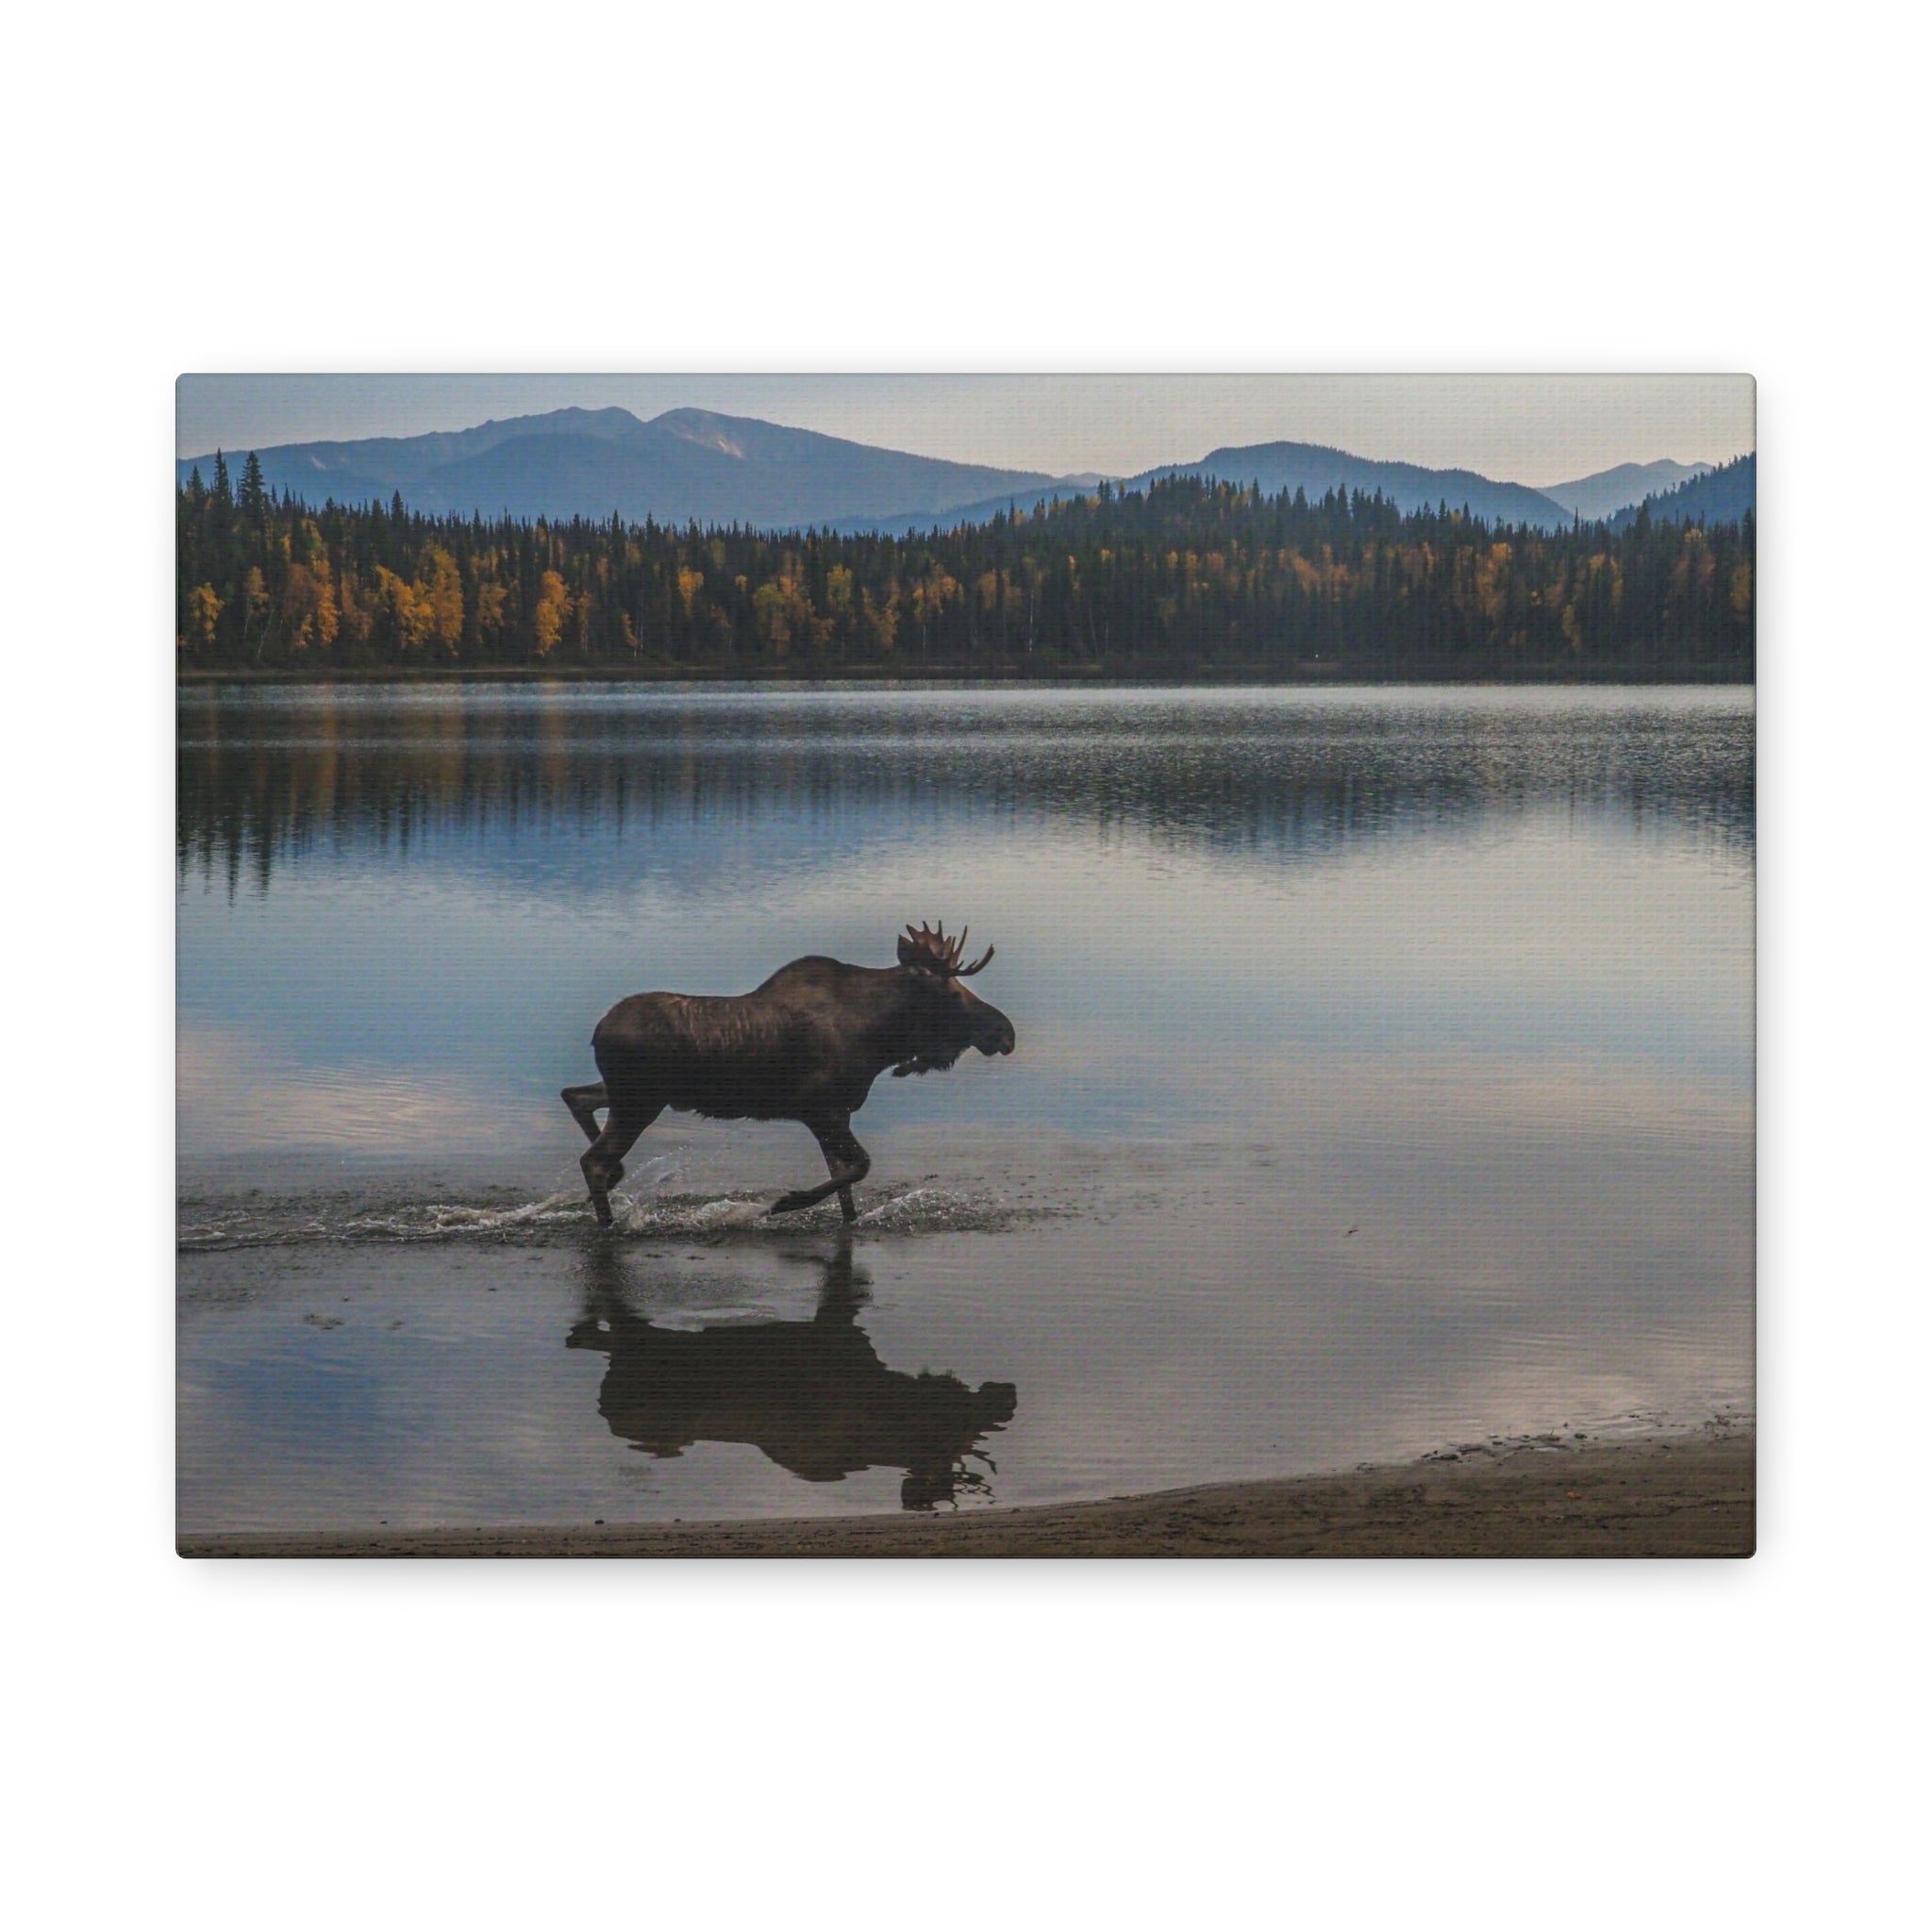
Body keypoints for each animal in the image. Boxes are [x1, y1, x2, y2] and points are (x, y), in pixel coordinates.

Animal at [562, 921, 1016, 1228]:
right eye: (950, 992)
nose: (1005, 1032)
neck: (880, 1040)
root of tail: (597, 1032)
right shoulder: (818, 1107)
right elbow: (860, 1166)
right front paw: (785, 1203)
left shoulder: (837, 1113)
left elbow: (845, 1185)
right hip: (639, 1101)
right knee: (594, 1159)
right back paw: (608, 1220)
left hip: (630, 1095)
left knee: (575, 1096)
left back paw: (616, 1180)